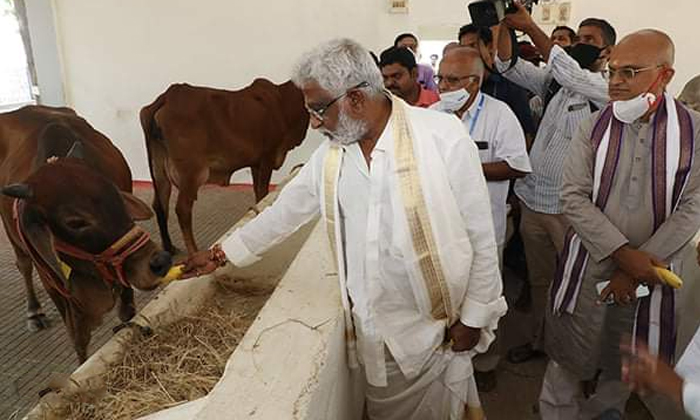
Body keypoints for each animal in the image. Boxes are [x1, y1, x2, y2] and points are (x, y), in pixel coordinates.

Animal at [0, 106, 172, 364]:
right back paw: (34, 312)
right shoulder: (57, 289)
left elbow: (126, 313)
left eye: (116, 194)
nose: (159, 261)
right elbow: (79, 341)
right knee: (23, 266)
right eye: (75, 222)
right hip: (14, 239)